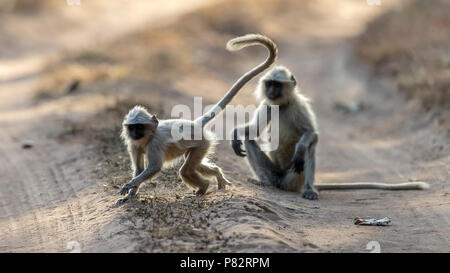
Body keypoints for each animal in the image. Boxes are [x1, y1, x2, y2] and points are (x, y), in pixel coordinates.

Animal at [116, 33, 278, 204]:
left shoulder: (155, 143)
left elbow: (154, 167)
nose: (134, 133)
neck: (148, 137)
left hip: (203, 142)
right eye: (132, 128)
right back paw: (217, 175)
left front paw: (130, 186)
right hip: (198, 145)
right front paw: (129, 196)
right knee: (196, 166)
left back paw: (204, 187)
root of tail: (194, 124)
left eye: (139, 127)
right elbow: (139, 169)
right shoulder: (134, 145)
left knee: (186, 170)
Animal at [232, 65, 428, 199]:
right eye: (269, 84)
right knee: (249, 139)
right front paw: (235, 134)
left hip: (294, 177)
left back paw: (309, 189)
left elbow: (311, 134)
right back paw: (264, 182)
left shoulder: (300, 106)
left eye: (277, 85)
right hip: (276, 174)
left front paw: (300, 149)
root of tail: (285, 183)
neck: (283, 106)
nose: (271, 91)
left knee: (310, 146)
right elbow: (253, 130)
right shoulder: (268, 104)